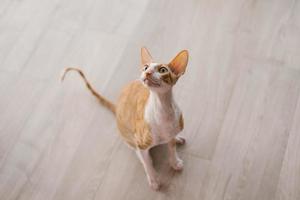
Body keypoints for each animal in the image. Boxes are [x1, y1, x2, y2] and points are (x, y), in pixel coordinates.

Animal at [59, 47, 189, 191]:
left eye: (162, 70)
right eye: (145, 67)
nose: (147, 72)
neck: (163, 110)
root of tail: (117, 107)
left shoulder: (171, 130)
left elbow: (172, 149)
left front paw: (175, 162)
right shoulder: (141, 143)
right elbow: (147, 165)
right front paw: (154, 180)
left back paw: (177, 139)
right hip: (129, 137)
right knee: (140, 154)